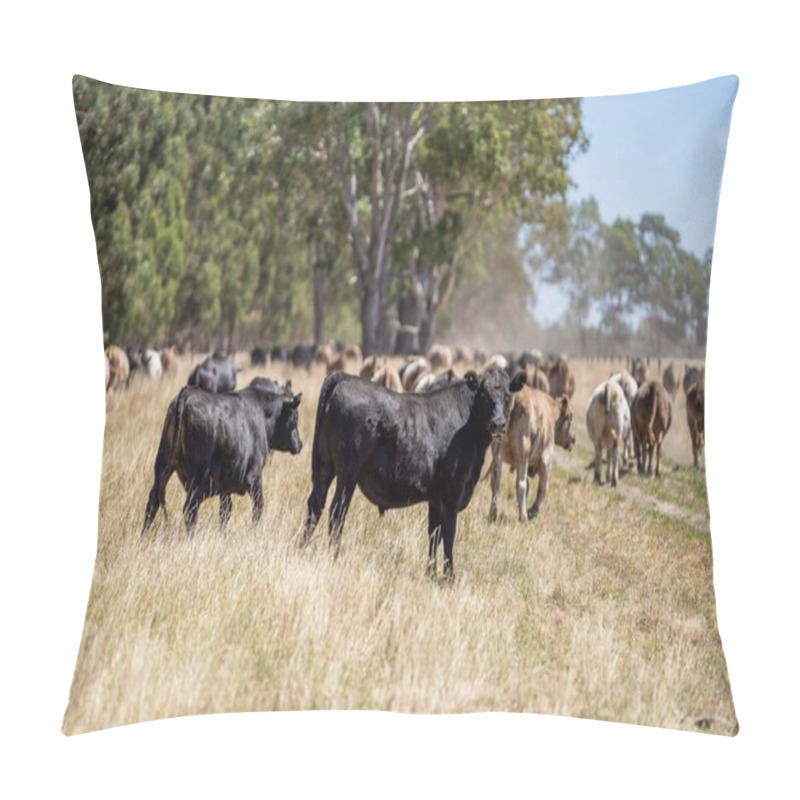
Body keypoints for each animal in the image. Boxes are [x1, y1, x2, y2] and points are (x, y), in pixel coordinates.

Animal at [142, 382, 302, 532]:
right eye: (295, 417)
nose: (299, 444)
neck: (262, 413)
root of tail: (187, 393)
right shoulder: (255, 476)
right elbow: (258, 507)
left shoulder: (226, 487)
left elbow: (225, 512)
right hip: (198, 478)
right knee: (190, 509)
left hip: (163, 463)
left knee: (153, 502)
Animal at [304, 368, 528, 580]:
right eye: (483, 395)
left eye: (507, 396)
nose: (498, 423)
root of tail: (346, 377)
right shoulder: (452, 493)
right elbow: (449, 532)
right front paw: (449, 577)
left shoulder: (436, 499)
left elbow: (434, 534)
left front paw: (431, 573)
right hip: (347, 474)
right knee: (336, 513)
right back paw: (335, 556)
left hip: (324, 467)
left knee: (315, 506)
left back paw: (302, 547)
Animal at [488, 388, 576, 524]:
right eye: (570, 417)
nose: (573, 439)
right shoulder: (546, 460)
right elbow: (543, 488)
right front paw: (532, 511)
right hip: (523, 451)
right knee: (521, 484)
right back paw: (524, 518)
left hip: (497, 448)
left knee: (496, 480)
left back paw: (493, 514)